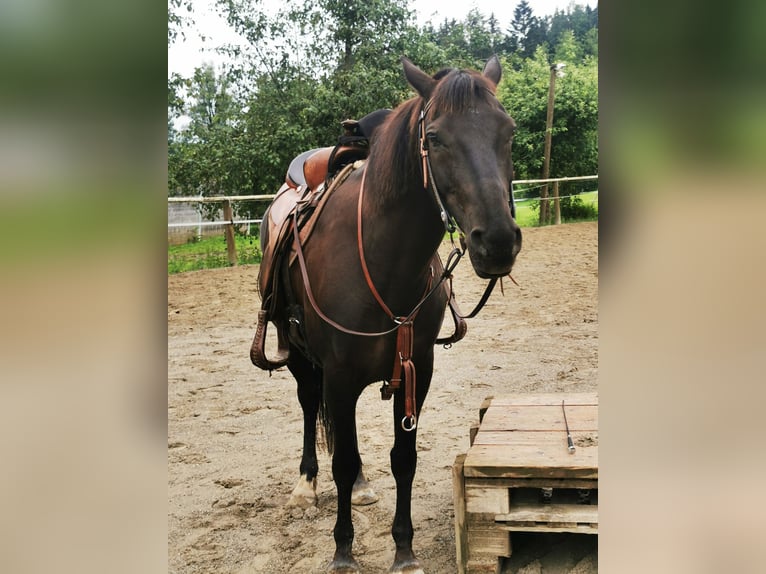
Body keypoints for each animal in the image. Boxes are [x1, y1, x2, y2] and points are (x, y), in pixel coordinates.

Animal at [255, 57, 524, 574]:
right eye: (435, 137)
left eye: (509, 131)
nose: (498, 241)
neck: (383, 261)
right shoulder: (338, 372)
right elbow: (341, 458)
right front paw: (343, 551)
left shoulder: (416, 368)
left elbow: (403, 458)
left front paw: (404, 549)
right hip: (298, 352)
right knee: (309, 407)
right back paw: (305, 485)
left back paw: (361, 487)